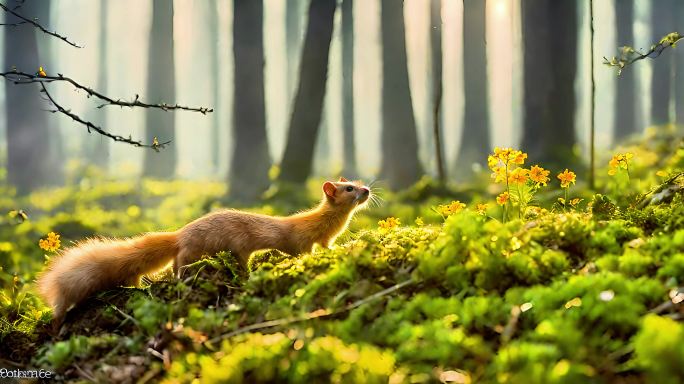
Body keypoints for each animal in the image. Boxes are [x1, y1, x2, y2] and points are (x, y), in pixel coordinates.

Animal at [37, 177, 368, 324]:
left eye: (359, 182)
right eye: (349, 188)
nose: (367, 190)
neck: (324, 226)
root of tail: (181, 232)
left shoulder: (324, 240)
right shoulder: (299, 240)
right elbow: (302, 252)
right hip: (200, 249)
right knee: (179, 266)